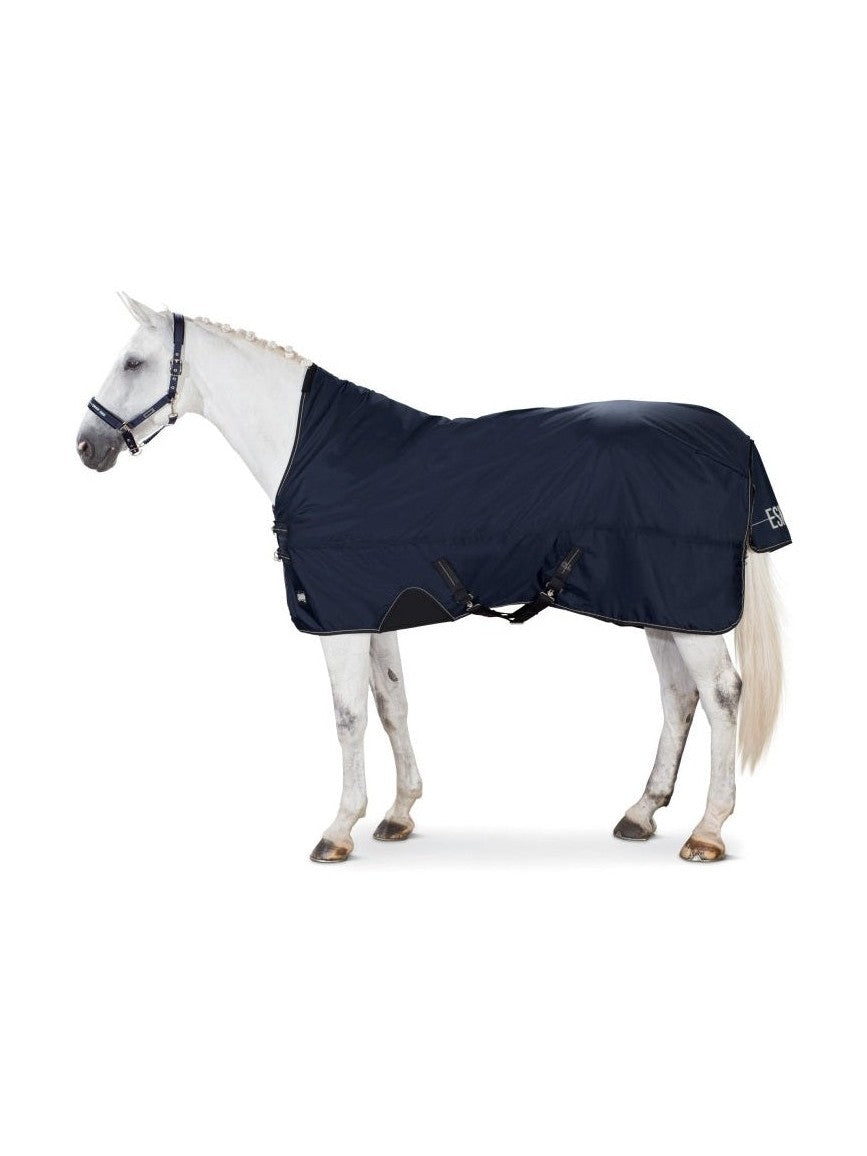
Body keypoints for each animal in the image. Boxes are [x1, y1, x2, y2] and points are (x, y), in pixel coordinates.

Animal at [76, 293, 787, 864]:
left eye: (133, 364)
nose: (86, 446)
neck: (317, 452)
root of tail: (733, 441)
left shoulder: (339, 620)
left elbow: (349, 717)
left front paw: (339, 828)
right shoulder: (375, 611)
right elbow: (392, 706)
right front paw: (398, 814)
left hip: (688, 610)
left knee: (721, 695)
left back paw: (707, 831)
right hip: (661, 606)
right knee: (678, 696)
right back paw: (642, 812)